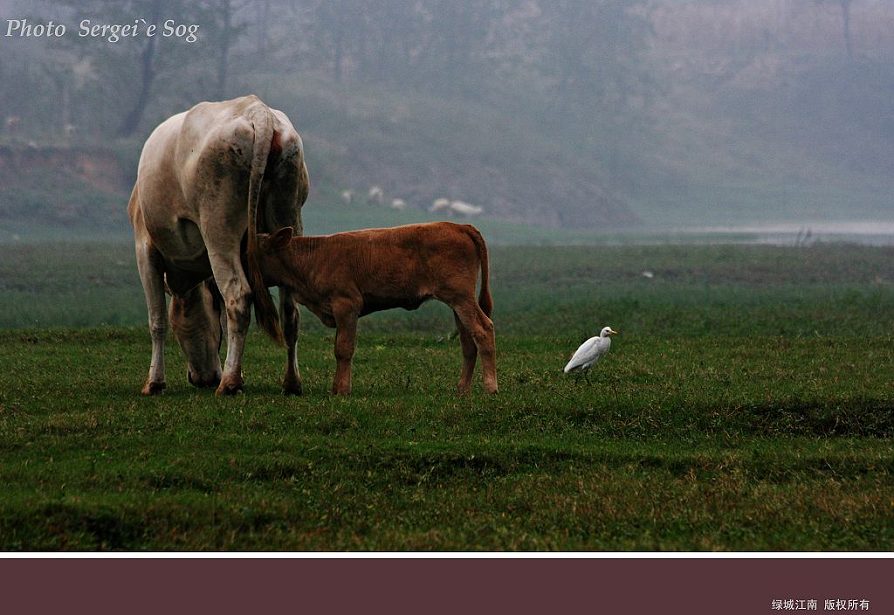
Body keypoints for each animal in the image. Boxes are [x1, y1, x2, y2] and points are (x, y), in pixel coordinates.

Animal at [128, 94, 312, 398]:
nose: (203, 378)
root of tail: (258, 112)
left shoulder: (145, 249)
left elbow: (157, 321)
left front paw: (154, 382)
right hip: (288, 217)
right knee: (290, 311)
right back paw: (291, 382)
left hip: (218, 228)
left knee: (238, 298)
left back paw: (229, 383)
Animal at [258, 221, 496, 394]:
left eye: (257, 250)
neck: (314, 256)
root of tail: (460, 226)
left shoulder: (347, 306)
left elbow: (343, 348)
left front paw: (341, 390)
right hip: (457, 304)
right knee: (468, 342)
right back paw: (462, 389)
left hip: (462, 299)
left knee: (483, 329)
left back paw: (490, 387)